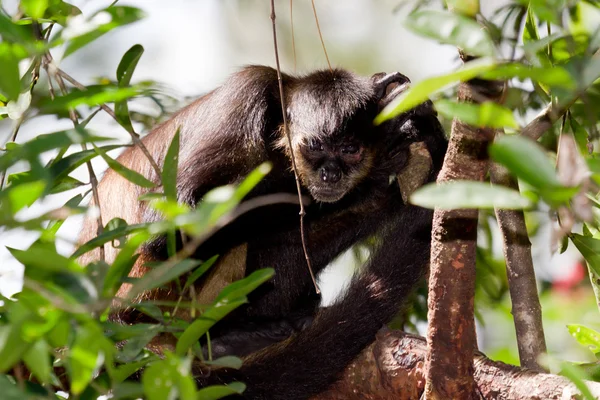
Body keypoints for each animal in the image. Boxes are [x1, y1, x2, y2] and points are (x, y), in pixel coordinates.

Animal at [77, 66, 448, 400]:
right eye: (316, 146)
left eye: (350, 150)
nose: (331, 174)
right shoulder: (246, 96)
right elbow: (167, 233)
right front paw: (380, 159)